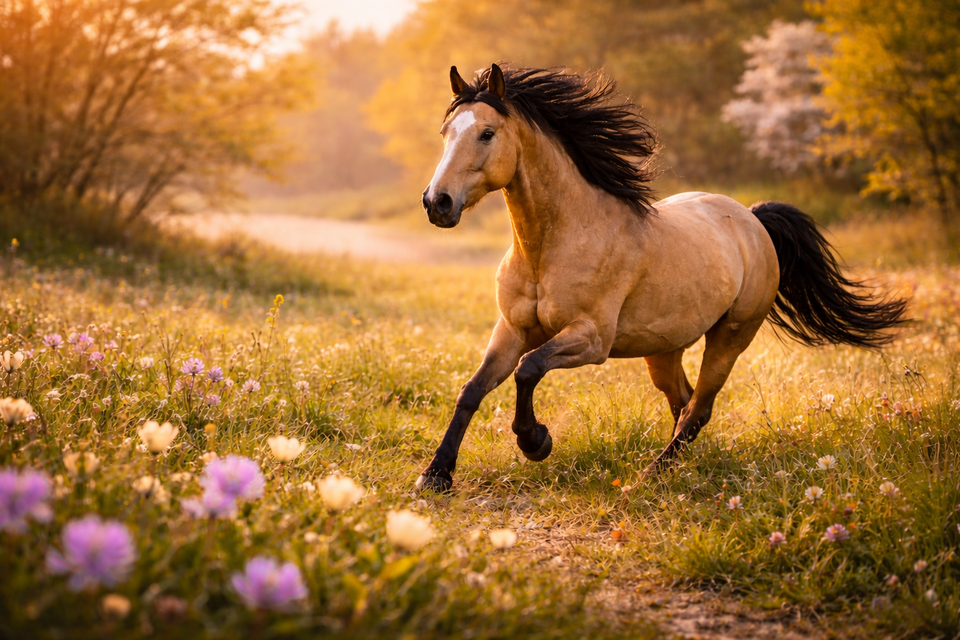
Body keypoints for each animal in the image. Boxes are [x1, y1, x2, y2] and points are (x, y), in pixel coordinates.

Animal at [415, 64, 908, 493]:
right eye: (445, 133)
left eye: (487, 133)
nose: (437, 202)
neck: (553, 245)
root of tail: (752, 220)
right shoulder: (512, 329)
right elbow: (472, 390)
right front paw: (435, 476)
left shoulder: (591, 340)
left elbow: (528, 369)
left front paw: (536, 441)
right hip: (664, 348)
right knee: (683, 400)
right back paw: (673, 465)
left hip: (731, 337)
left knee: (699, 408)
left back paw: (651, 474)